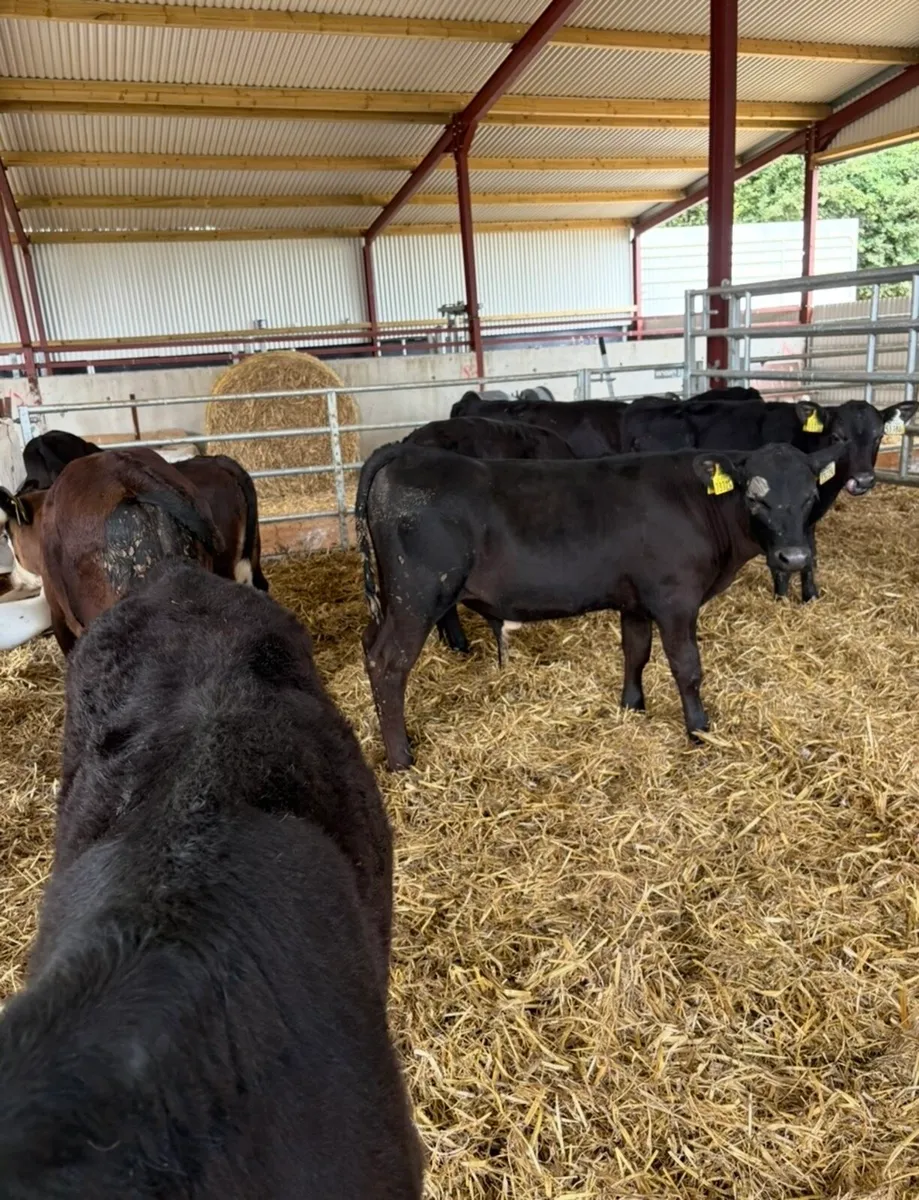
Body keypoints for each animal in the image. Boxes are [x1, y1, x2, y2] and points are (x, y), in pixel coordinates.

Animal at [356, 439, 846, 770]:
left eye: (810, 497)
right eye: (755, 497)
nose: (794, 557)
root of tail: (406, 454)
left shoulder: (635, 601)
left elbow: (636, 652)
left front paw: (632, 706)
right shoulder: (675, 600)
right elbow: (687, 667)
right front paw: (699, 729)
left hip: (398, 600)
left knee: (370, 646)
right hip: (417, 597)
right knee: (387, 664)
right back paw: (401, 759)